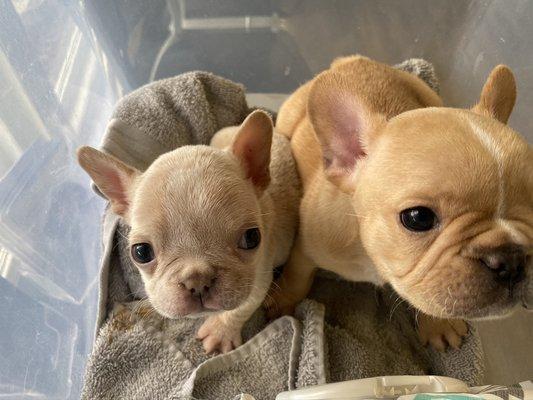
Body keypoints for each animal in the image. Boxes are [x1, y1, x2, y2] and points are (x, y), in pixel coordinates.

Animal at [77, 109, 300, 354]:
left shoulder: (260, 277)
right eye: (141, 252)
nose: (197, 280)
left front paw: (221, 331)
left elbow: (243, 307)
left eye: (252, 238)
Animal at [270, 55, 532, 350]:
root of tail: (352, 59)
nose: (511, 259)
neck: (371, 253)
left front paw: (438, 324)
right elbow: (297, 275)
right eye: (418, 218)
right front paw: (282, 303)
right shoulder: (306, 246)